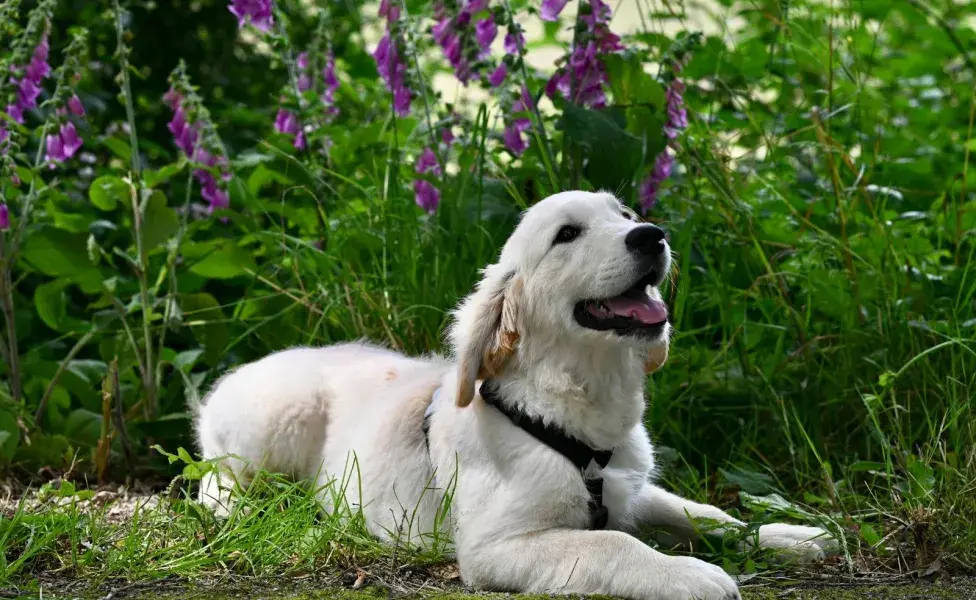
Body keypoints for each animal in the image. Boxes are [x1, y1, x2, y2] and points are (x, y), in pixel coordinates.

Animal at [193, 191, 840, 596]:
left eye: (623, 213)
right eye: (567, 235)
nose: (651, 235)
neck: (582, 421)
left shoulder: (629, 487)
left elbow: (702, 511)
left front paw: (790, 536)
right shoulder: (494, 546)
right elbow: (614, 546)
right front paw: (690, 574)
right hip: (274, 427)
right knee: (213, 480)